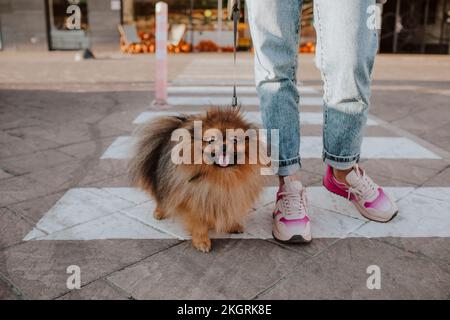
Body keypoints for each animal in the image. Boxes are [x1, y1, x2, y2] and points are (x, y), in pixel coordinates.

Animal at [128, 107, 266, 252]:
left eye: (234, 140)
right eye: (212, 140)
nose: (223, 146)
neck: (221, 176)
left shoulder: (231, 195)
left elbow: (228, 211)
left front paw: (232, 225)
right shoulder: (193, 200)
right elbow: (198, 222)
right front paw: (202, 241)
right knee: (161, 196)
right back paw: (160, 212)